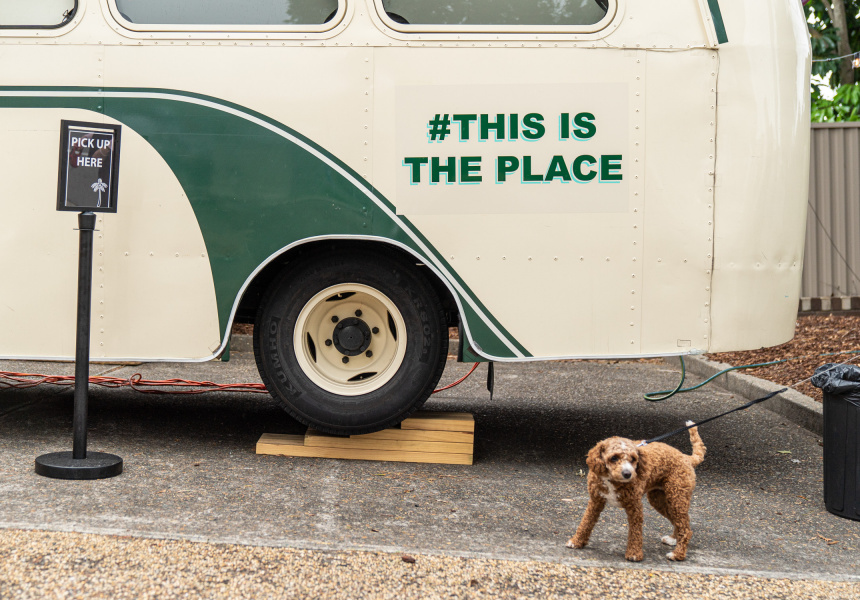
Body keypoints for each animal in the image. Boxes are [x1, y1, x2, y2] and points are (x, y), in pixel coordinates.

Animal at [568, 422, 704, 564]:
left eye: (633, 459)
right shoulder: (596, 501)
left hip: (677, 497)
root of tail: (687, 458)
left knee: (686, 529)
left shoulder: (635, 506)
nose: (628, 474)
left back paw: (677, 554)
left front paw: (634, 553)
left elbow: (635, 531)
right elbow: (586, 521)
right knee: (678, 521)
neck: (612, 480)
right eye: (614, 458)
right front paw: (577, 541)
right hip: (659, 499)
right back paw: (673, 539)